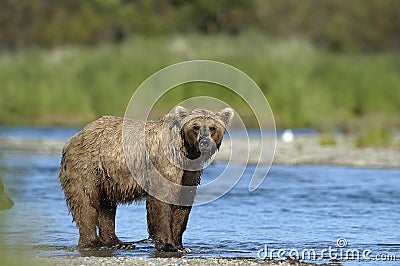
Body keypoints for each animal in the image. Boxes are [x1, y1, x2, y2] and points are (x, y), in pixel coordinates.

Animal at [59, 106, 234, 251]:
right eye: (196, 126)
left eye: (212, 127)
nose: (204, 142)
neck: (187, 153)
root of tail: (73, 138)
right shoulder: (164, 162)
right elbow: (162, 199)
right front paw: (168, 245)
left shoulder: (190, 173)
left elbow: (182, 203)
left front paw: (180, 245)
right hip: (88, 167)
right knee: (85, 202)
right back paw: (93, 242)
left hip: (108, 178)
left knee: (106, 206)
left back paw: (118, 243)